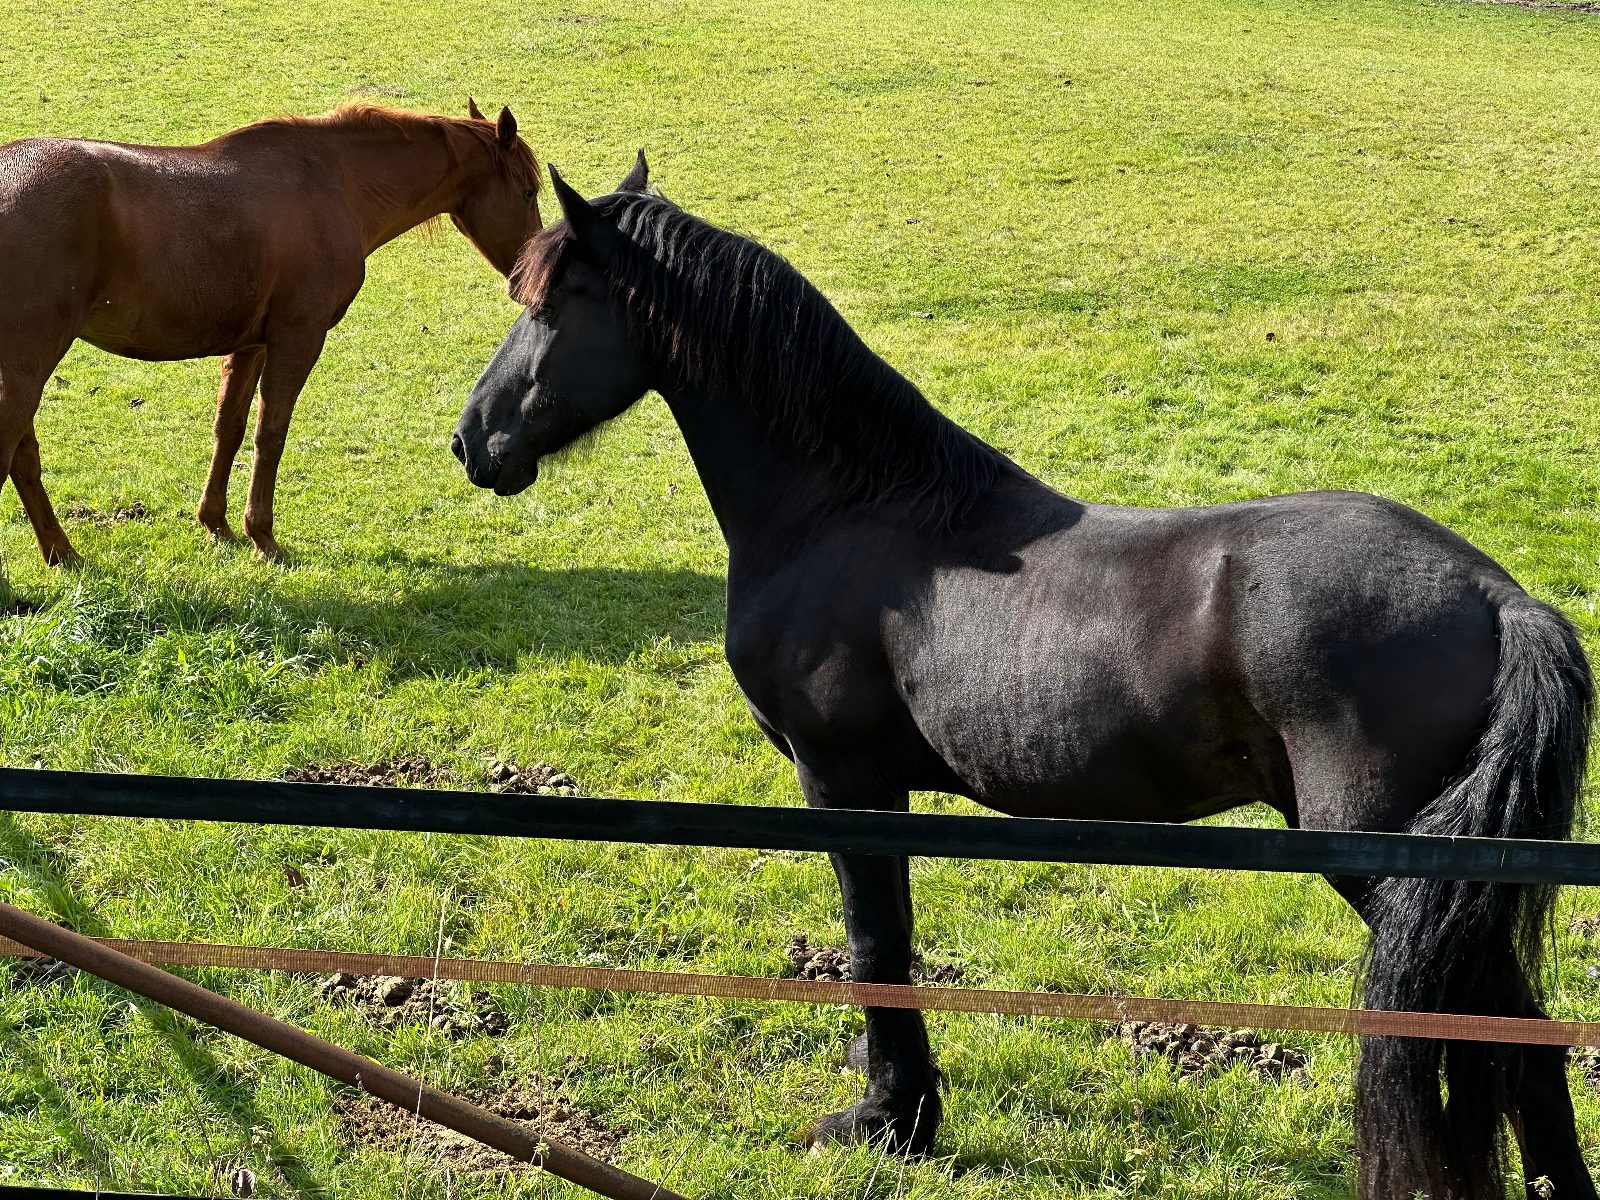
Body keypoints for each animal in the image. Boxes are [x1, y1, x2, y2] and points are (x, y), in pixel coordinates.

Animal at [0, 102, 544, 563]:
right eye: (529, 191)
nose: (533, 284)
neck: (335, 183)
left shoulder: (251, 345)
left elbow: (230, 428)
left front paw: (216, 524)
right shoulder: (297, 339)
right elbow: (271, 433)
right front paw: (262, 536)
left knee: (24, 457)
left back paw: (60, 552)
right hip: (28, 364)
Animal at [457, 160, 1593, 1200]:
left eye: (552, 304)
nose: (473, 440)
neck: (851, 510)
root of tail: (1497, 596)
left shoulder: (844, 779)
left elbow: (877, 944)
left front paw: (888, 1121)